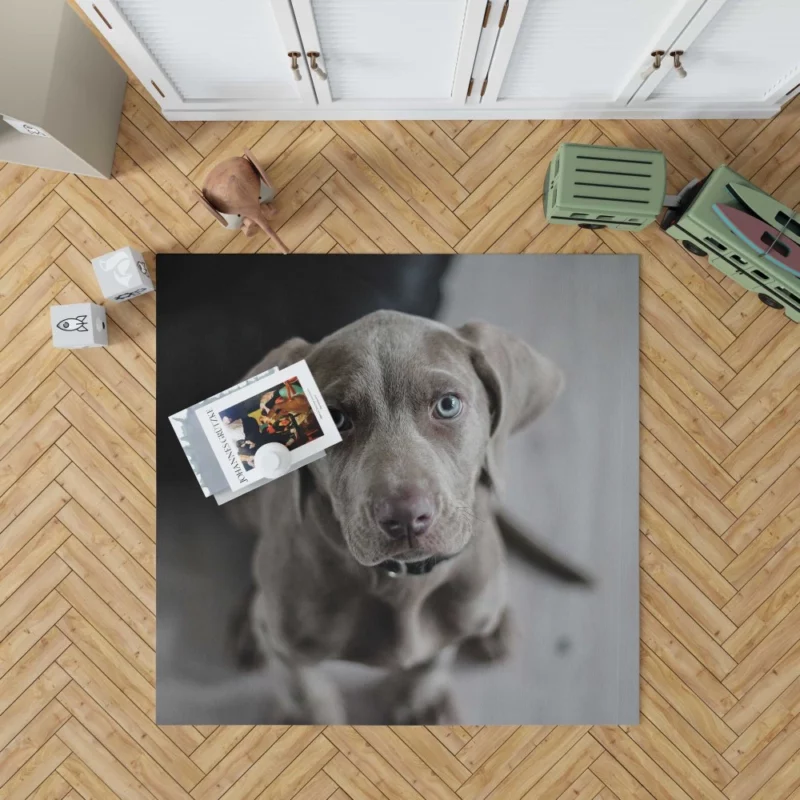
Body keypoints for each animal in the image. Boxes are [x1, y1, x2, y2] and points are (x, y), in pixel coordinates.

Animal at [230, 308, 568, 724]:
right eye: (335, 419)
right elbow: (303, 689)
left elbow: (433, 659)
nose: (405, 518)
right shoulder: (288, 646)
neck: (401, 584)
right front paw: (309, 719)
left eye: (448, 405)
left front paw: (421, 703)